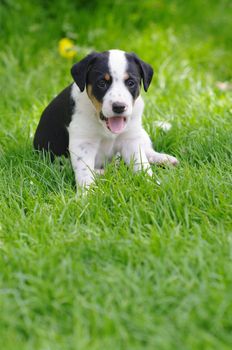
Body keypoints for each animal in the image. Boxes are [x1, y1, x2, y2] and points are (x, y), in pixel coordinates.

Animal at [33, 49, 178, 189]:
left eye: (131, 83)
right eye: (102, 83)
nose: (119, 107)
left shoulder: (130, 140)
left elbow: (142, 165)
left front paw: (151, 183)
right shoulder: (83, 143)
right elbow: (85, 173)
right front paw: (87, 194)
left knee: (147, 150)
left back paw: (165, 159)